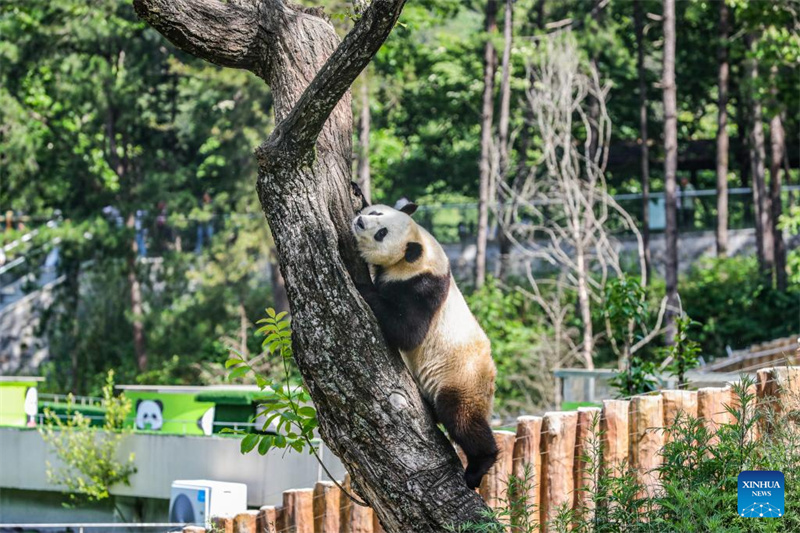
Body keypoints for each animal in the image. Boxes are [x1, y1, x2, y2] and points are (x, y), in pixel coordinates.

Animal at [351, 201, 498, 490]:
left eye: (382, 233)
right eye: (375, 213)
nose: (360, 222)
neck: (418, 247)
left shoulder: (422, 287)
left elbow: (408, 332)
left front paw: (363, 285)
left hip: (461, 377)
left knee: (462, 418)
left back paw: (479, 466)